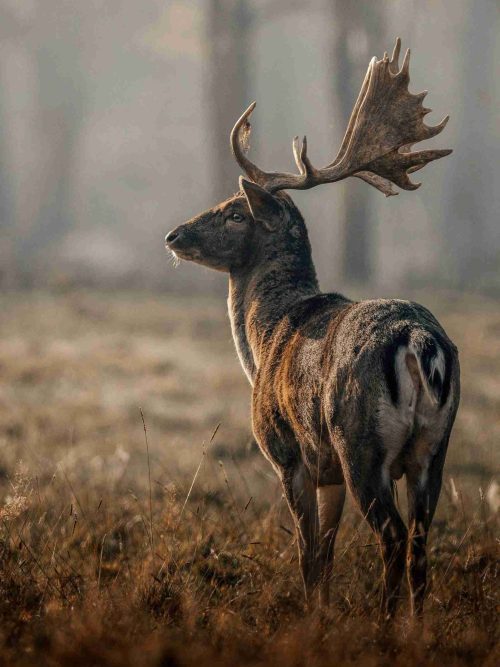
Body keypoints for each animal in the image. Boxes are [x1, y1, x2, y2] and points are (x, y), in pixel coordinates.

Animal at [166, 39, 458, 620]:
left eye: (235, 212)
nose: (174, 235)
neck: (265, 339)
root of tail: (420, 343)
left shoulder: (289, 453)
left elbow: (306, 553)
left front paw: (311, 620)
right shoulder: (329, 474)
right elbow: (324, 552)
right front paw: (321, 613)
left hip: (360, 442)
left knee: (392, 537)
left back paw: (385, 626)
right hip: (432, 450)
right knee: (419, 542)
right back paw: (418, 627)